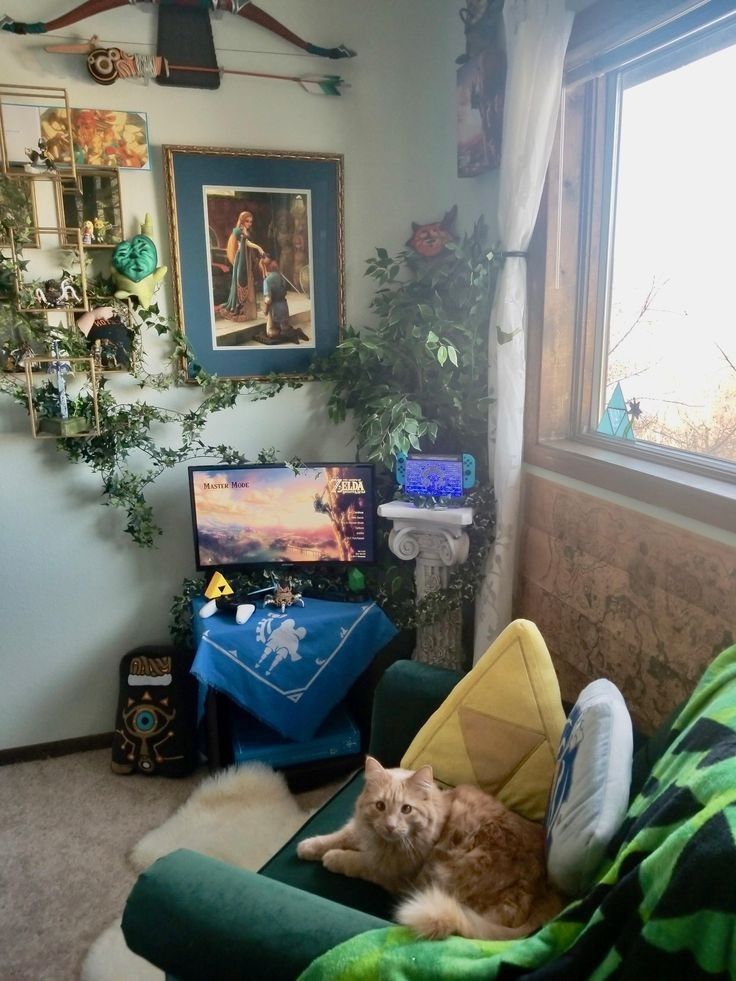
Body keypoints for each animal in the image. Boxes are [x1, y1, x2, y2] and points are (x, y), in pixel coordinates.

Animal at [296, 756, 560, 936]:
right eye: (380, 806)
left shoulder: (388, 871)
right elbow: (339, 836)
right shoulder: (363, 832)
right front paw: (308, 846)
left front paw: (333, 858)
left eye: (406, 809)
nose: (390, 827)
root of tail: (547, 891)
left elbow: (355, 861)